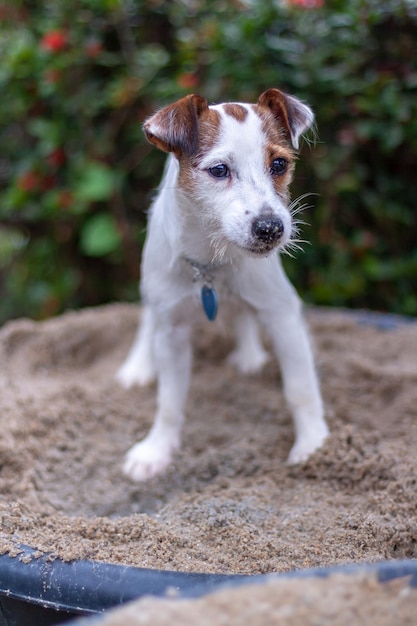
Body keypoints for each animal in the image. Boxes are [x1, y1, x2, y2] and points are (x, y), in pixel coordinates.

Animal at [115, 88, 326, 480]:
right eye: (218, 170)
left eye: (279, 165)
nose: (270, 228)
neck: (211, 263)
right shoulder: (171, 333)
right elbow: (169, 401)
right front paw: (157, 449)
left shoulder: (282, 314)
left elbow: (300, 387)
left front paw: (313, 445)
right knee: (148, 318)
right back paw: (138, 365)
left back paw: (249, 354)